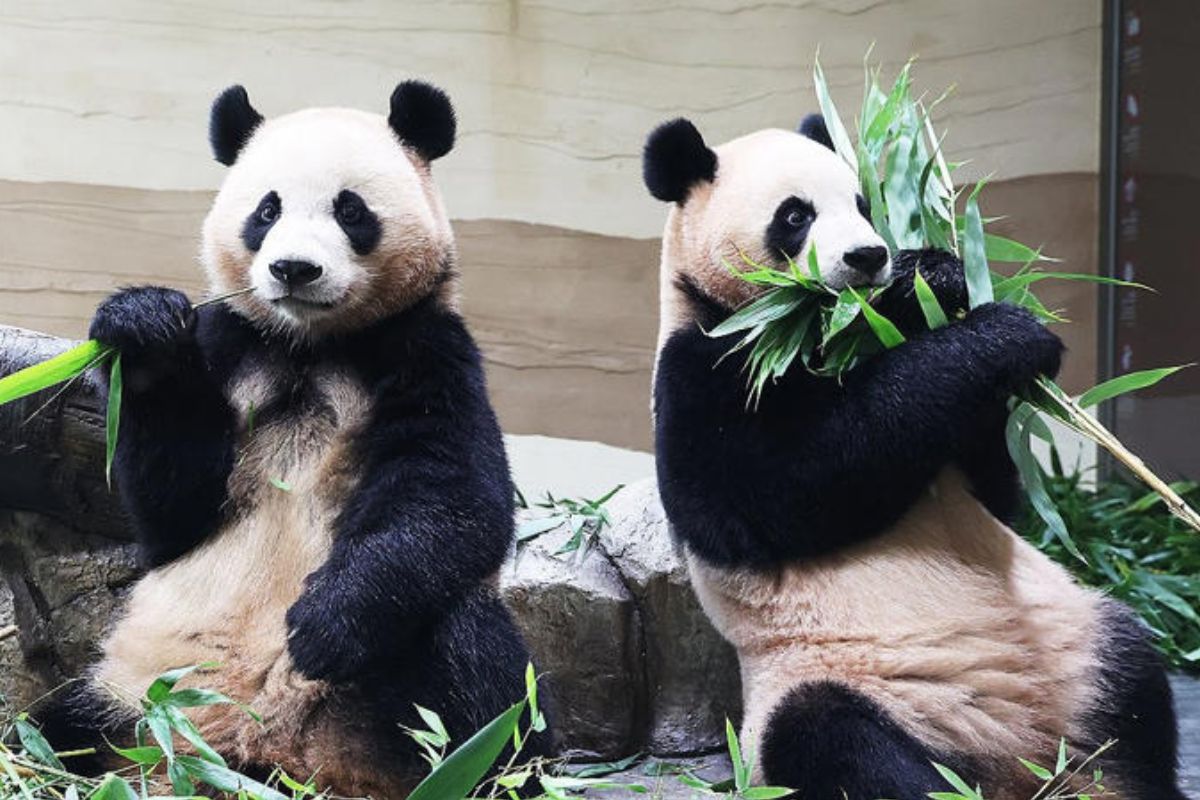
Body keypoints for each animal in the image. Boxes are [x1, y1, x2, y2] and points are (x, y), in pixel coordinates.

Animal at [37, 81, 552, 797]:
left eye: (350, 209)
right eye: (267, 209)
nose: (294, 269)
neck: (309, 346)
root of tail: (271, 756)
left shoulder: (427, 353)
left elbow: (453, 497)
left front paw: (322, 627)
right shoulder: (230, 346)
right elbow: (173, 507)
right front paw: (141, 326)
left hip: (404, 695)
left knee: (479, 675)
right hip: (133, 697)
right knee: (58, 728)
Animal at [643, 115, 1184, 800]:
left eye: (862, 203)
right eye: (795, 216)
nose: (868, 257)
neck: (803, 327)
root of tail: (1019, 761)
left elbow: (996, 496)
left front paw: (932, 275)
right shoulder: (708, 368)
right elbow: (790, 489)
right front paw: (1002, 335)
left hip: (1075, 642)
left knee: (1131, 681)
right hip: (843, 688)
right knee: (839, 741)